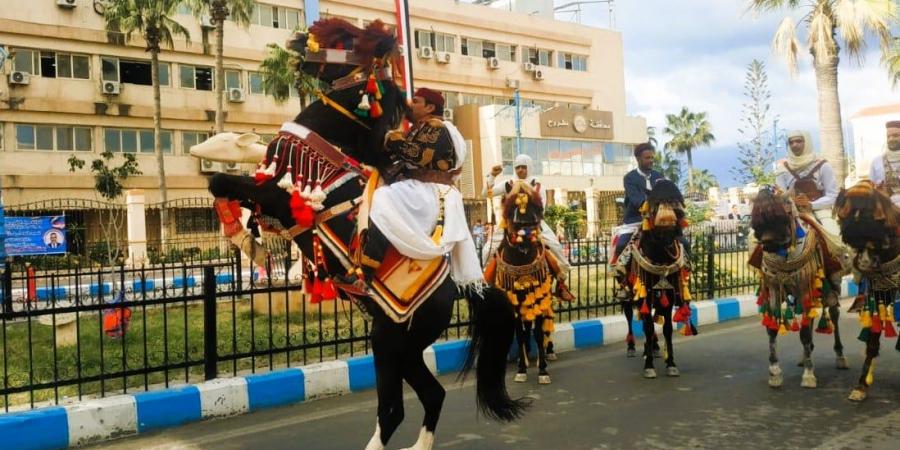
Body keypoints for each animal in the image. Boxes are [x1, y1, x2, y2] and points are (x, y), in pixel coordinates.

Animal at [200, 20, 524, 450]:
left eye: (347, 39)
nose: (297, 40)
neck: (326, 147)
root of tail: (455, 288)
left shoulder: (278, 197)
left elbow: (222, 181)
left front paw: (246, 243)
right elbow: (225, 179)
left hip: (390, 342)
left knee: (394, 408)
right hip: (401, 345)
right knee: (430, 395)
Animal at [832, 179, 896, 400]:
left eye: (872, 216)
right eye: (845, 215)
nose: (862, 262)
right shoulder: (880, 294)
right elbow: (872, 340)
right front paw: (861, 385)